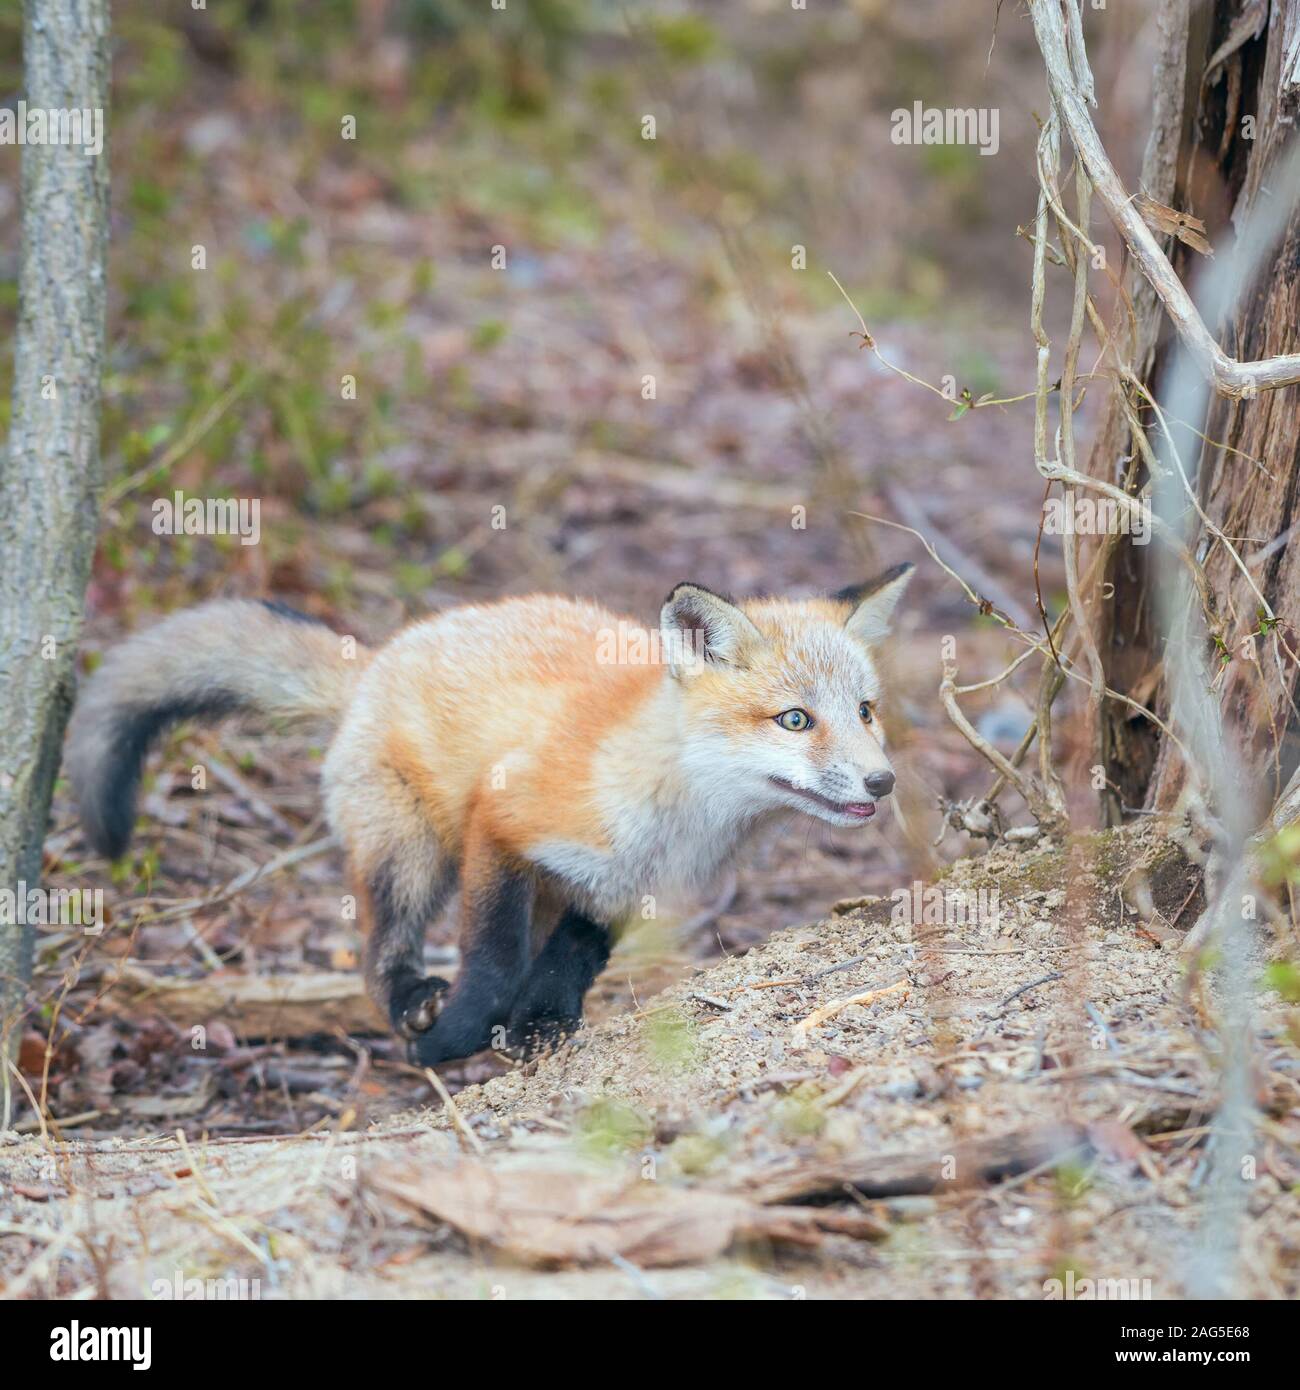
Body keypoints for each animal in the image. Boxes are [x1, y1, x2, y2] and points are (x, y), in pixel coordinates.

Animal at [66, 564, 913, 1066]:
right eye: (795, 720)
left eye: (865, 711)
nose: (883, 782)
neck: (678, 815)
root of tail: (378, 660)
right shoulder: (502, 825)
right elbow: (493, 954)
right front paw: (456, 1036)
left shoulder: (620, 887)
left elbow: (572, 959)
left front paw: (539, 1024)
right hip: (411, 852)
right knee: (379, 950)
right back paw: (410, 1000)